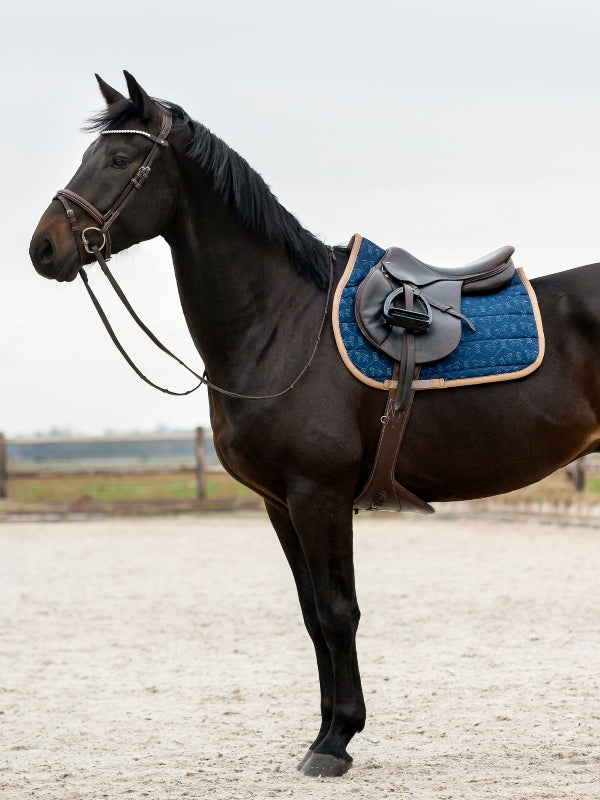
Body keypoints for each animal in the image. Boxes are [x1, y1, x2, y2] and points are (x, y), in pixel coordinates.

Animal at [29, 71, 600, 778]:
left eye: (118, 158)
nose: (42, 247)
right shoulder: (280, 504)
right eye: (90, 155)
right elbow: (311, 616)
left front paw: (337, 741)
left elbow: (337, 611)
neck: (281, 324)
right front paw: (325, 729)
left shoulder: (318, 495)